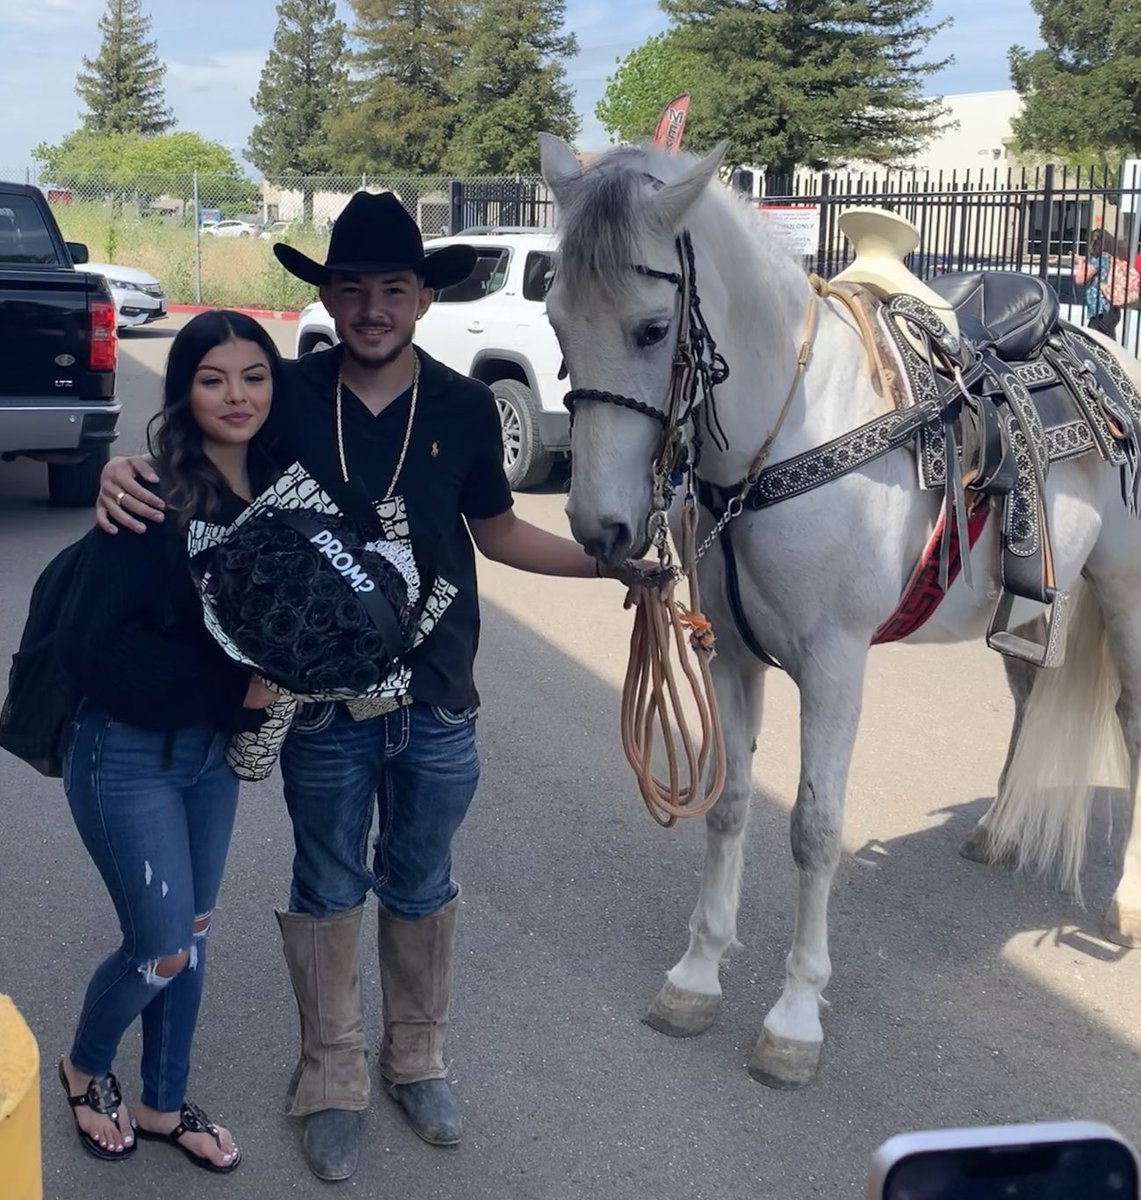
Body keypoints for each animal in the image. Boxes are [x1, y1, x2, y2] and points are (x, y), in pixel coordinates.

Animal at [539, 136, 1141, 1094]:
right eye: (557, 322)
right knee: (1025, 699)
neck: (780, 437)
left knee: (1129, 720)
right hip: (1026, 612)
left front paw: (792, 1019)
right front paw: (696, 976)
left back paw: (1123, 898)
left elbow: (813, 829)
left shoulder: (833, 665)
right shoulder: (728, 656)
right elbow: (728, 803)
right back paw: (995, 832)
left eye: (650, 329)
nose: (600, 528)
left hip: (1122, 595)